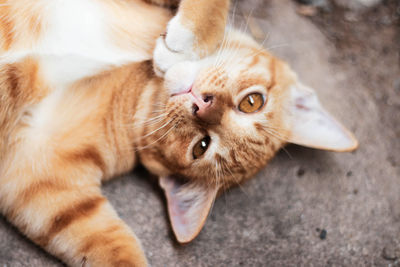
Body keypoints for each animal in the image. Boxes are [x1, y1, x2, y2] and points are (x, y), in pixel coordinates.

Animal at [0, 0, 356, 266]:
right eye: (253, 102)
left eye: (201, 146)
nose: (203, 104)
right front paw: (187, 42)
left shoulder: (40, 178)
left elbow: (111, 245)